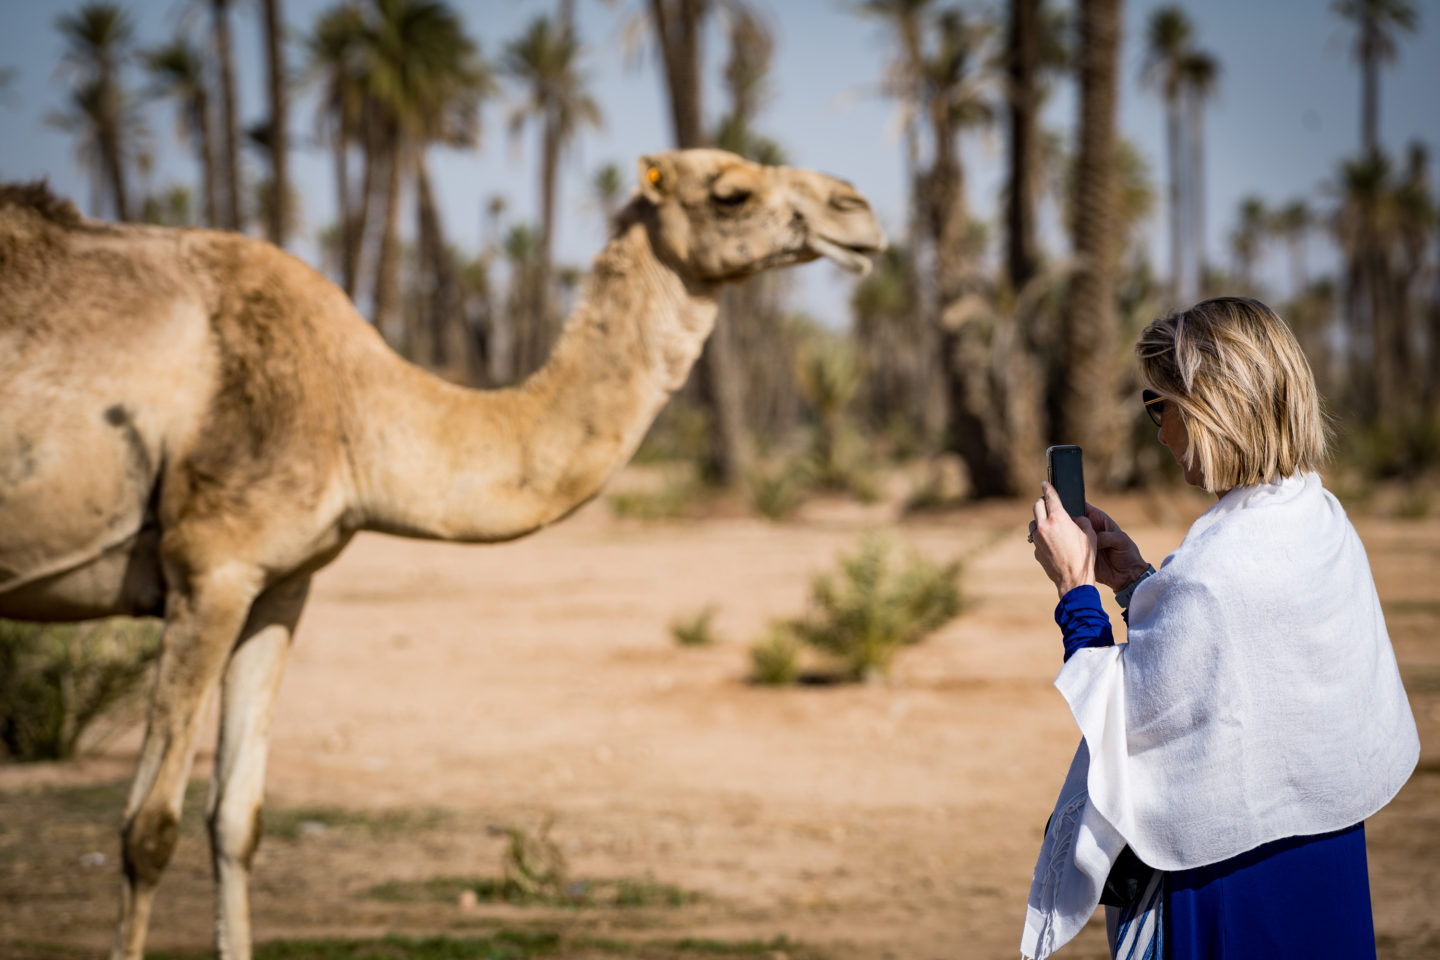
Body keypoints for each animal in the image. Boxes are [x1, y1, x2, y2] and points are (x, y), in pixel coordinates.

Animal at [0, 148, 881, 960]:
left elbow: (237, 821)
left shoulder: (278, 583)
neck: (355, 408)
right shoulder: (208, 569)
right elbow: (148, 829)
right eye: (731, 193)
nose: (861, 211)